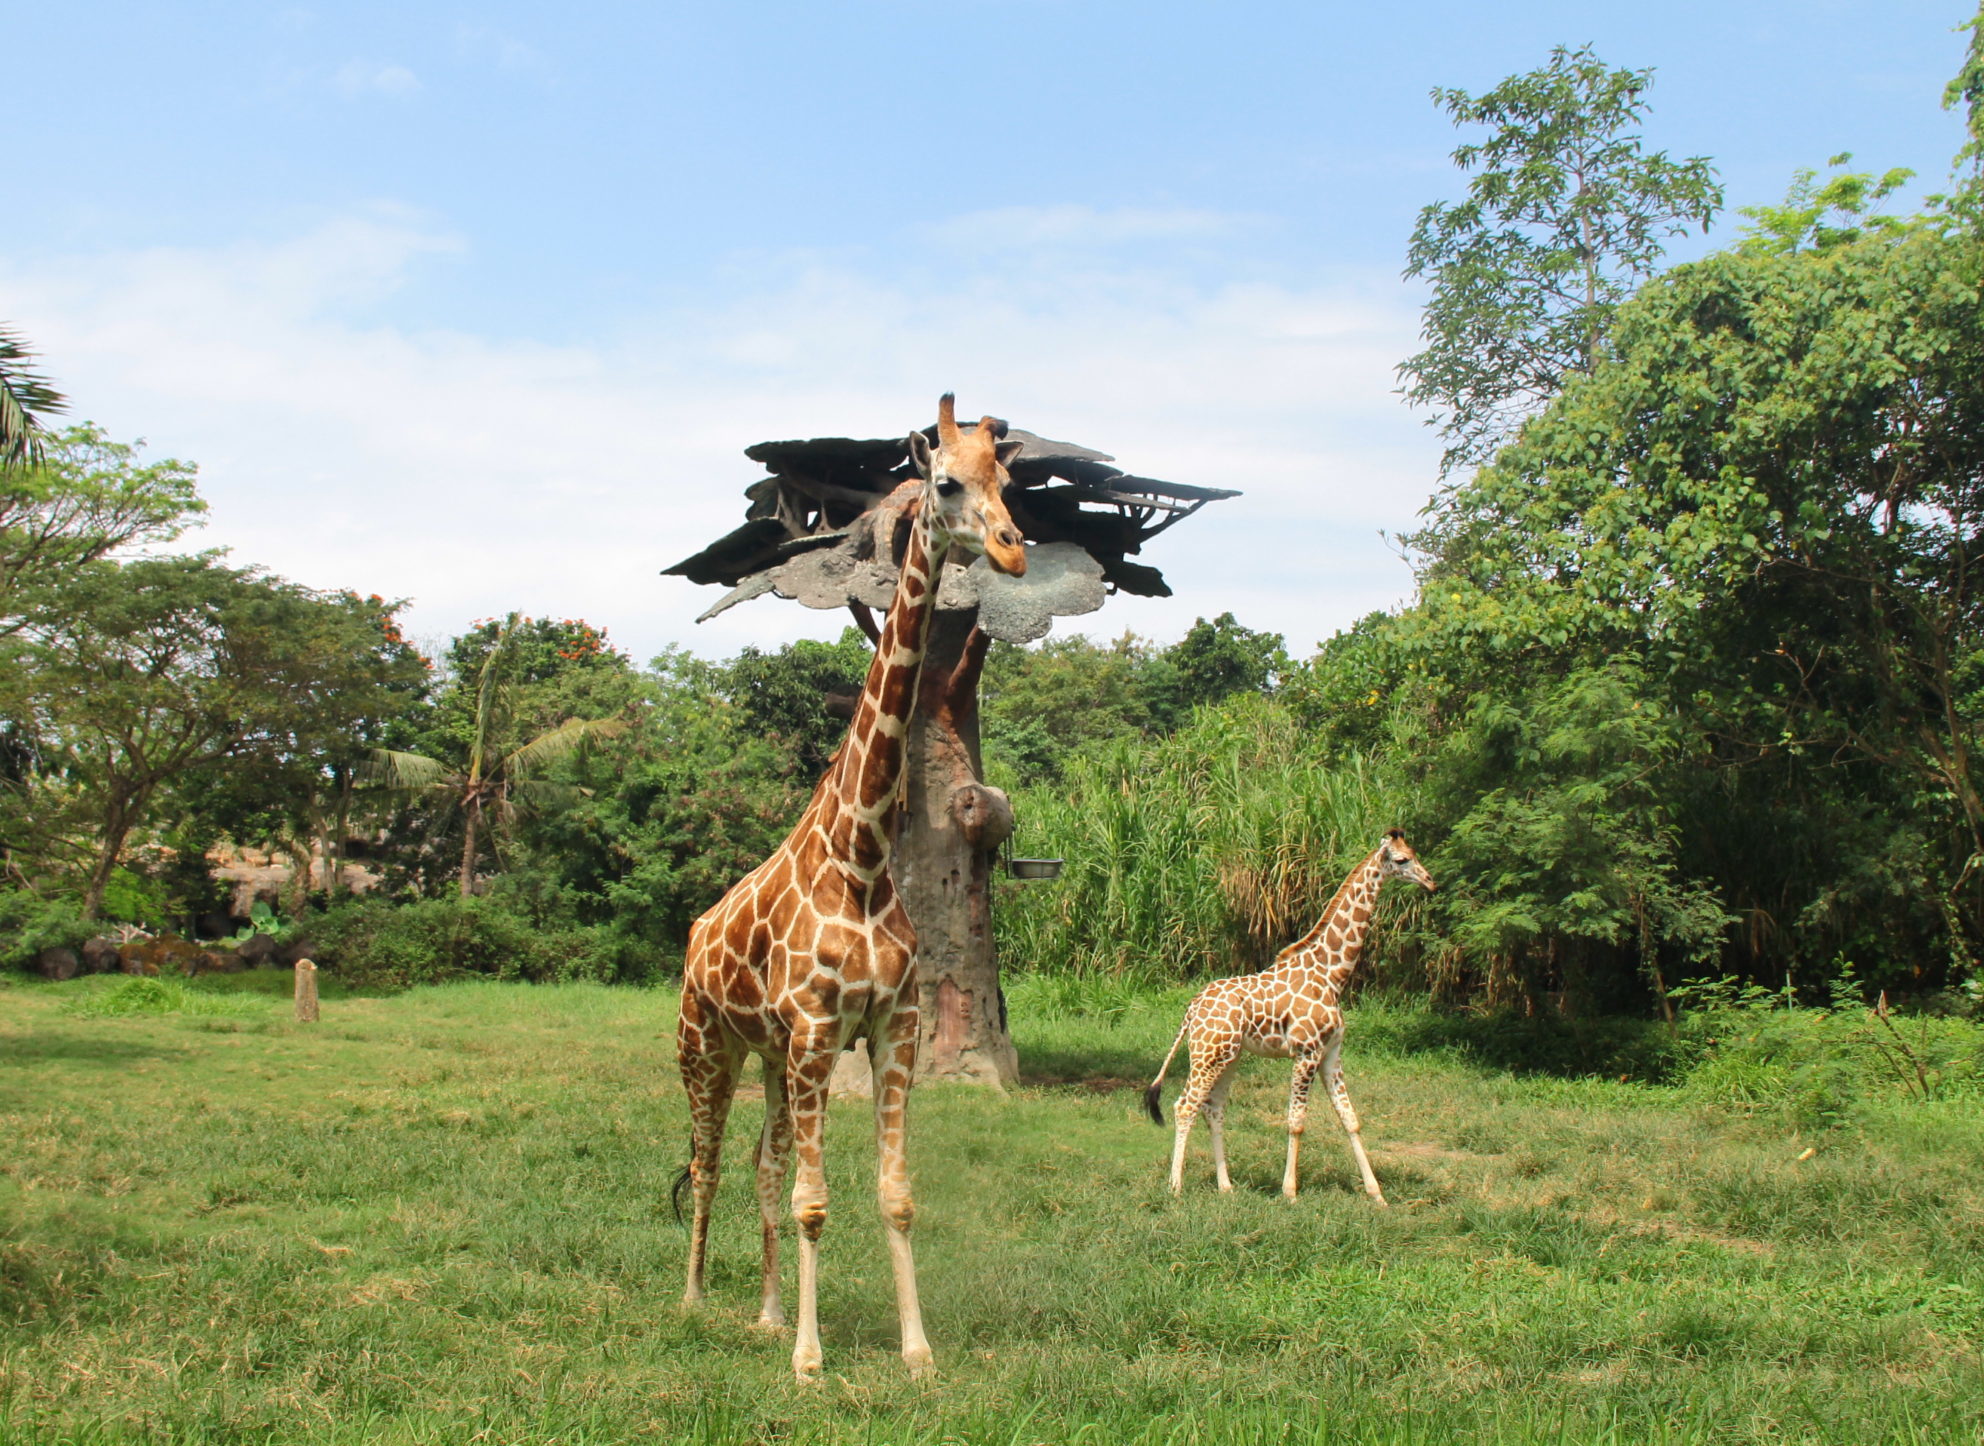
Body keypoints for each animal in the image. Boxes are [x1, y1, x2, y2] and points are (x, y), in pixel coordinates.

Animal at [678, 392, 1023, 1372]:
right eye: (943, 483)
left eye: (1007, 479)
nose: (1015, 549)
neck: (863, 856)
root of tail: (695, 933)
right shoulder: (816, 1030)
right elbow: (814, 1202)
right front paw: (809, 1360)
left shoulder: (888, 1029)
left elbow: (891, 1196)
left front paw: (916, 1354)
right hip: (704, 1047)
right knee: (708, 1162)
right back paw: (691, 1299)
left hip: (764, 1054)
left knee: (757, 1164)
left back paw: (758, 1312)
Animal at [1142, 829, 1436, 1198]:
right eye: (1401, 860)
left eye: (1415, 853)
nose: (1430, 881)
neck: (1332, 973)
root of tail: (1192, 1008)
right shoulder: (1306, 1052)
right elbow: (1296, 1122)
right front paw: (1290, 1191)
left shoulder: (1331, 1054)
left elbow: (1350, 1118)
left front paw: (1376, 1194)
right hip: (1207, 1054)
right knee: (1185, 1105)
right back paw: (1176, 1187)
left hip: (1229, 1057)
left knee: (1213, 1109)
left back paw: (1226, 1185)